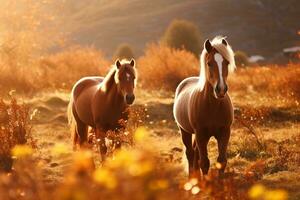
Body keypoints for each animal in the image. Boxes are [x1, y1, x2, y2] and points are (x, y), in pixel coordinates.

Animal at [173, 36, 237, 177]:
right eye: (209, 63)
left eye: (227, 62)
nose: (221, 89)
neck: (213, 107)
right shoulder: (201, 134)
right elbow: (204, 162)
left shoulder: (224, 133)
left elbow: (221, 161)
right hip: (185, 131)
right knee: (190, 153)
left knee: (195, 154)